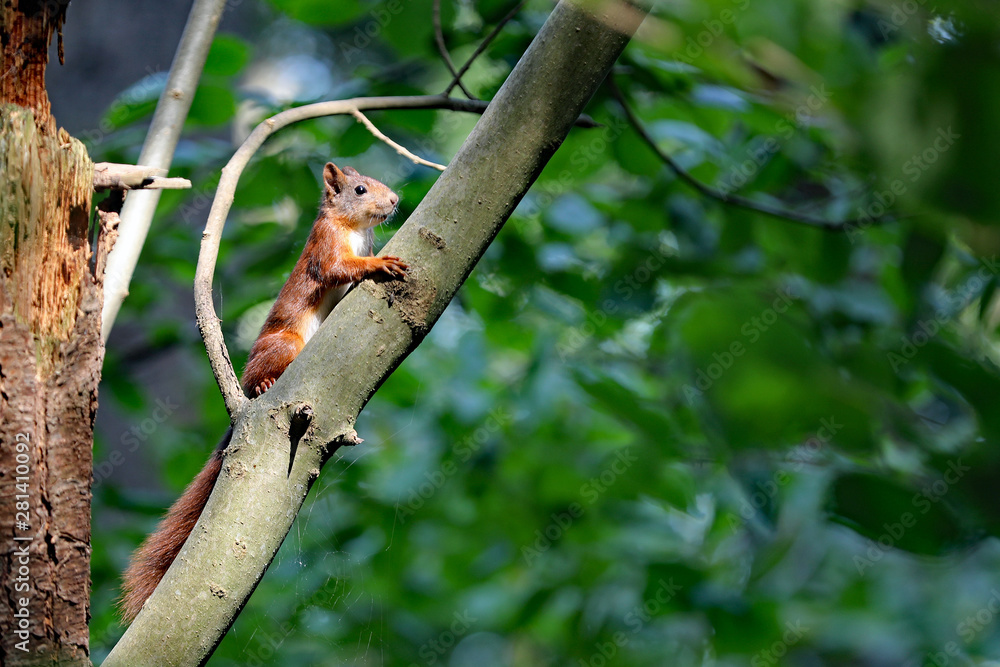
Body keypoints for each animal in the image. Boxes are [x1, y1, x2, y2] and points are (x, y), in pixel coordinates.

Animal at [119, 162, 408, 623]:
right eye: (360, 189)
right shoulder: (325, 247)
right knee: (261, 375)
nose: (395, 200)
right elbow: (339, 269)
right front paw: (379, 263)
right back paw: (266, 383)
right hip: (284, 344)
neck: (352, 228)